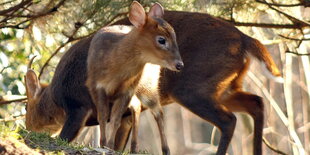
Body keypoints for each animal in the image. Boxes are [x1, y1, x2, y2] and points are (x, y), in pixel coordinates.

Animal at [24, 10, 282, 155]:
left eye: (26, 106)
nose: (28, 126)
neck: (56, 97)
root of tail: (245, 39)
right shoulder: (123, 114)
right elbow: (117, 143)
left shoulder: (78, 106)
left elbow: (65, 138)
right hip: (225, 86)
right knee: (256, 102)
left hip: (192, 87)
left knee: (229, 120)